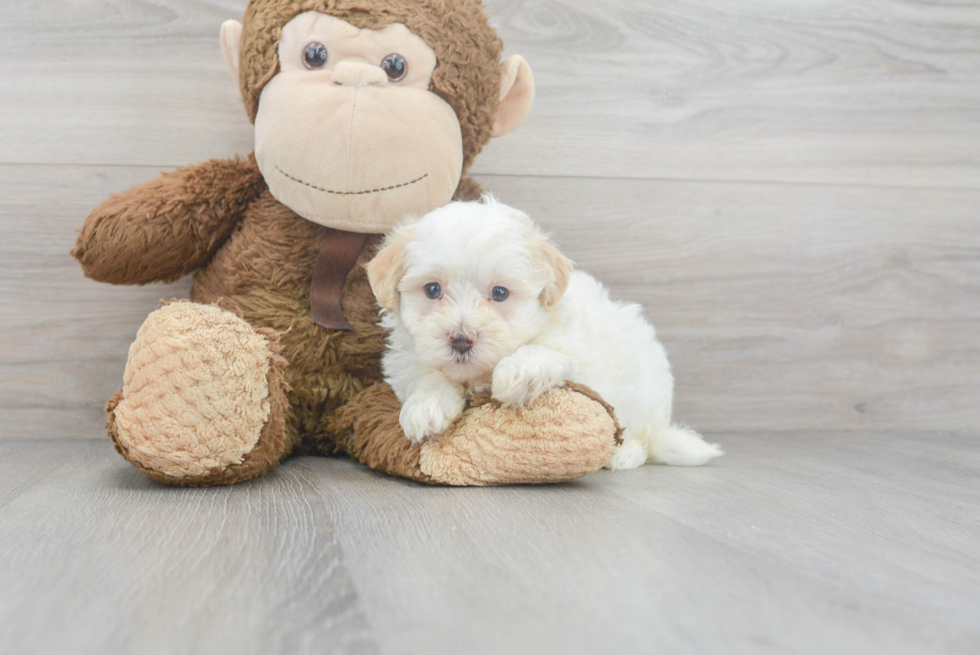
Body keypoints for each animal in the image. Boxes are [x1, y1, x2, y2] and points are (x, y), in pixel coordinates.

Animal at [368, 197, 720, 468]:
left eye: (499, 293)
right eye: (432, 290)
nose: (461, 339)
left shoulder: (586, 359)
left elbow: (550, 350)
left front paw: (518, 372)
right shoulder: (409, 361)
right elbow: (428, 375)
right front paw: (425, 407)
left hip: (646, 393)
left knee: (640, 437)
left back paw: (624, 455)